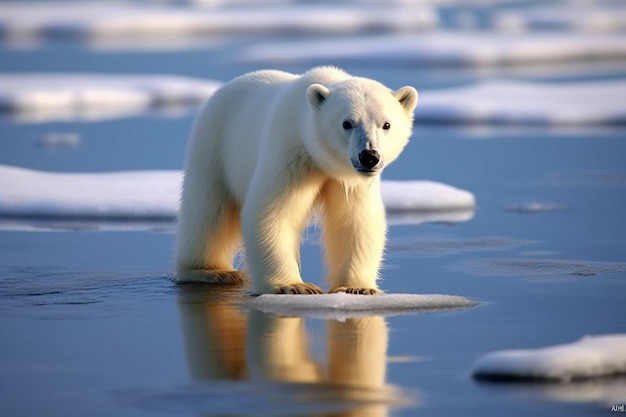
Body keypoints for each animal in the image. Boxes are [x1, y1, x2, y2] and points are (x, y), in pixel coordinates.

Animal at [176, 66, 416, 294]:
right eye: (347, 123)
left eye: (386, 124)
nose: (369, 156)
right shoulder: (290, 153)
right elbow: (272, 213)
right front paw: (294, 285)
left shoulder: (350, 181)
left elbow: (356, 220)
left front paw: (357, 287)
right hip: (213, 146)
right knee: (208, 211)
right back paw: (211, 271)